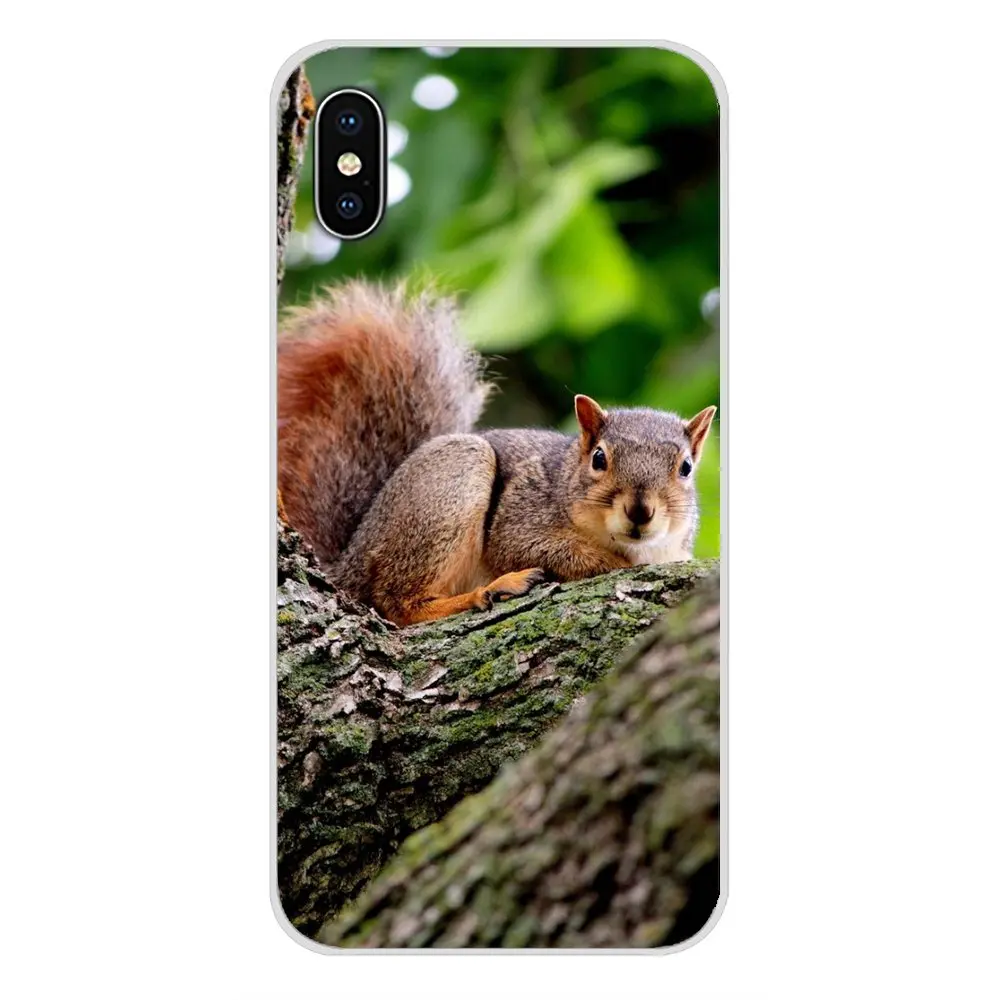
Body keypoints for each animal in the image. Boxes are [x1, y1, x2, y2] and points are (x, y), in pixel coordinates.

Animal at [278, 281, 716, 626]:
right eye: (598, 459)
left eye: (686, 467)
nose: (640, 511)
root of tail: (349, 558)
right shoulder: (520, 518)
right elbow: (534, 548)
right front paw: (620, 565)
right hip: (452, 480)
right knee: (397, 602)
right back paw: (487, 591)